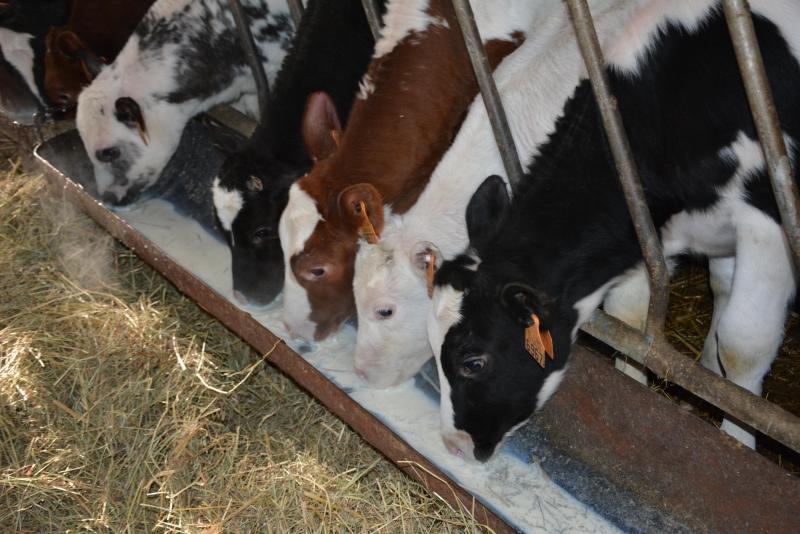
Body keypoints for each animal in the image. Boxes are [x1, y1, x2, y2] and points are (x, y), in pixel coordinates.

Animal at [428, 0, 800, 462]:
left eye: (473, 362)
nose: (454, 444)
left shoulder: (767, 223)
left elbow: (743, 343)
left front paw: (738, 442)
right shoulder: (647, 231)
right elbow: (634, 315)